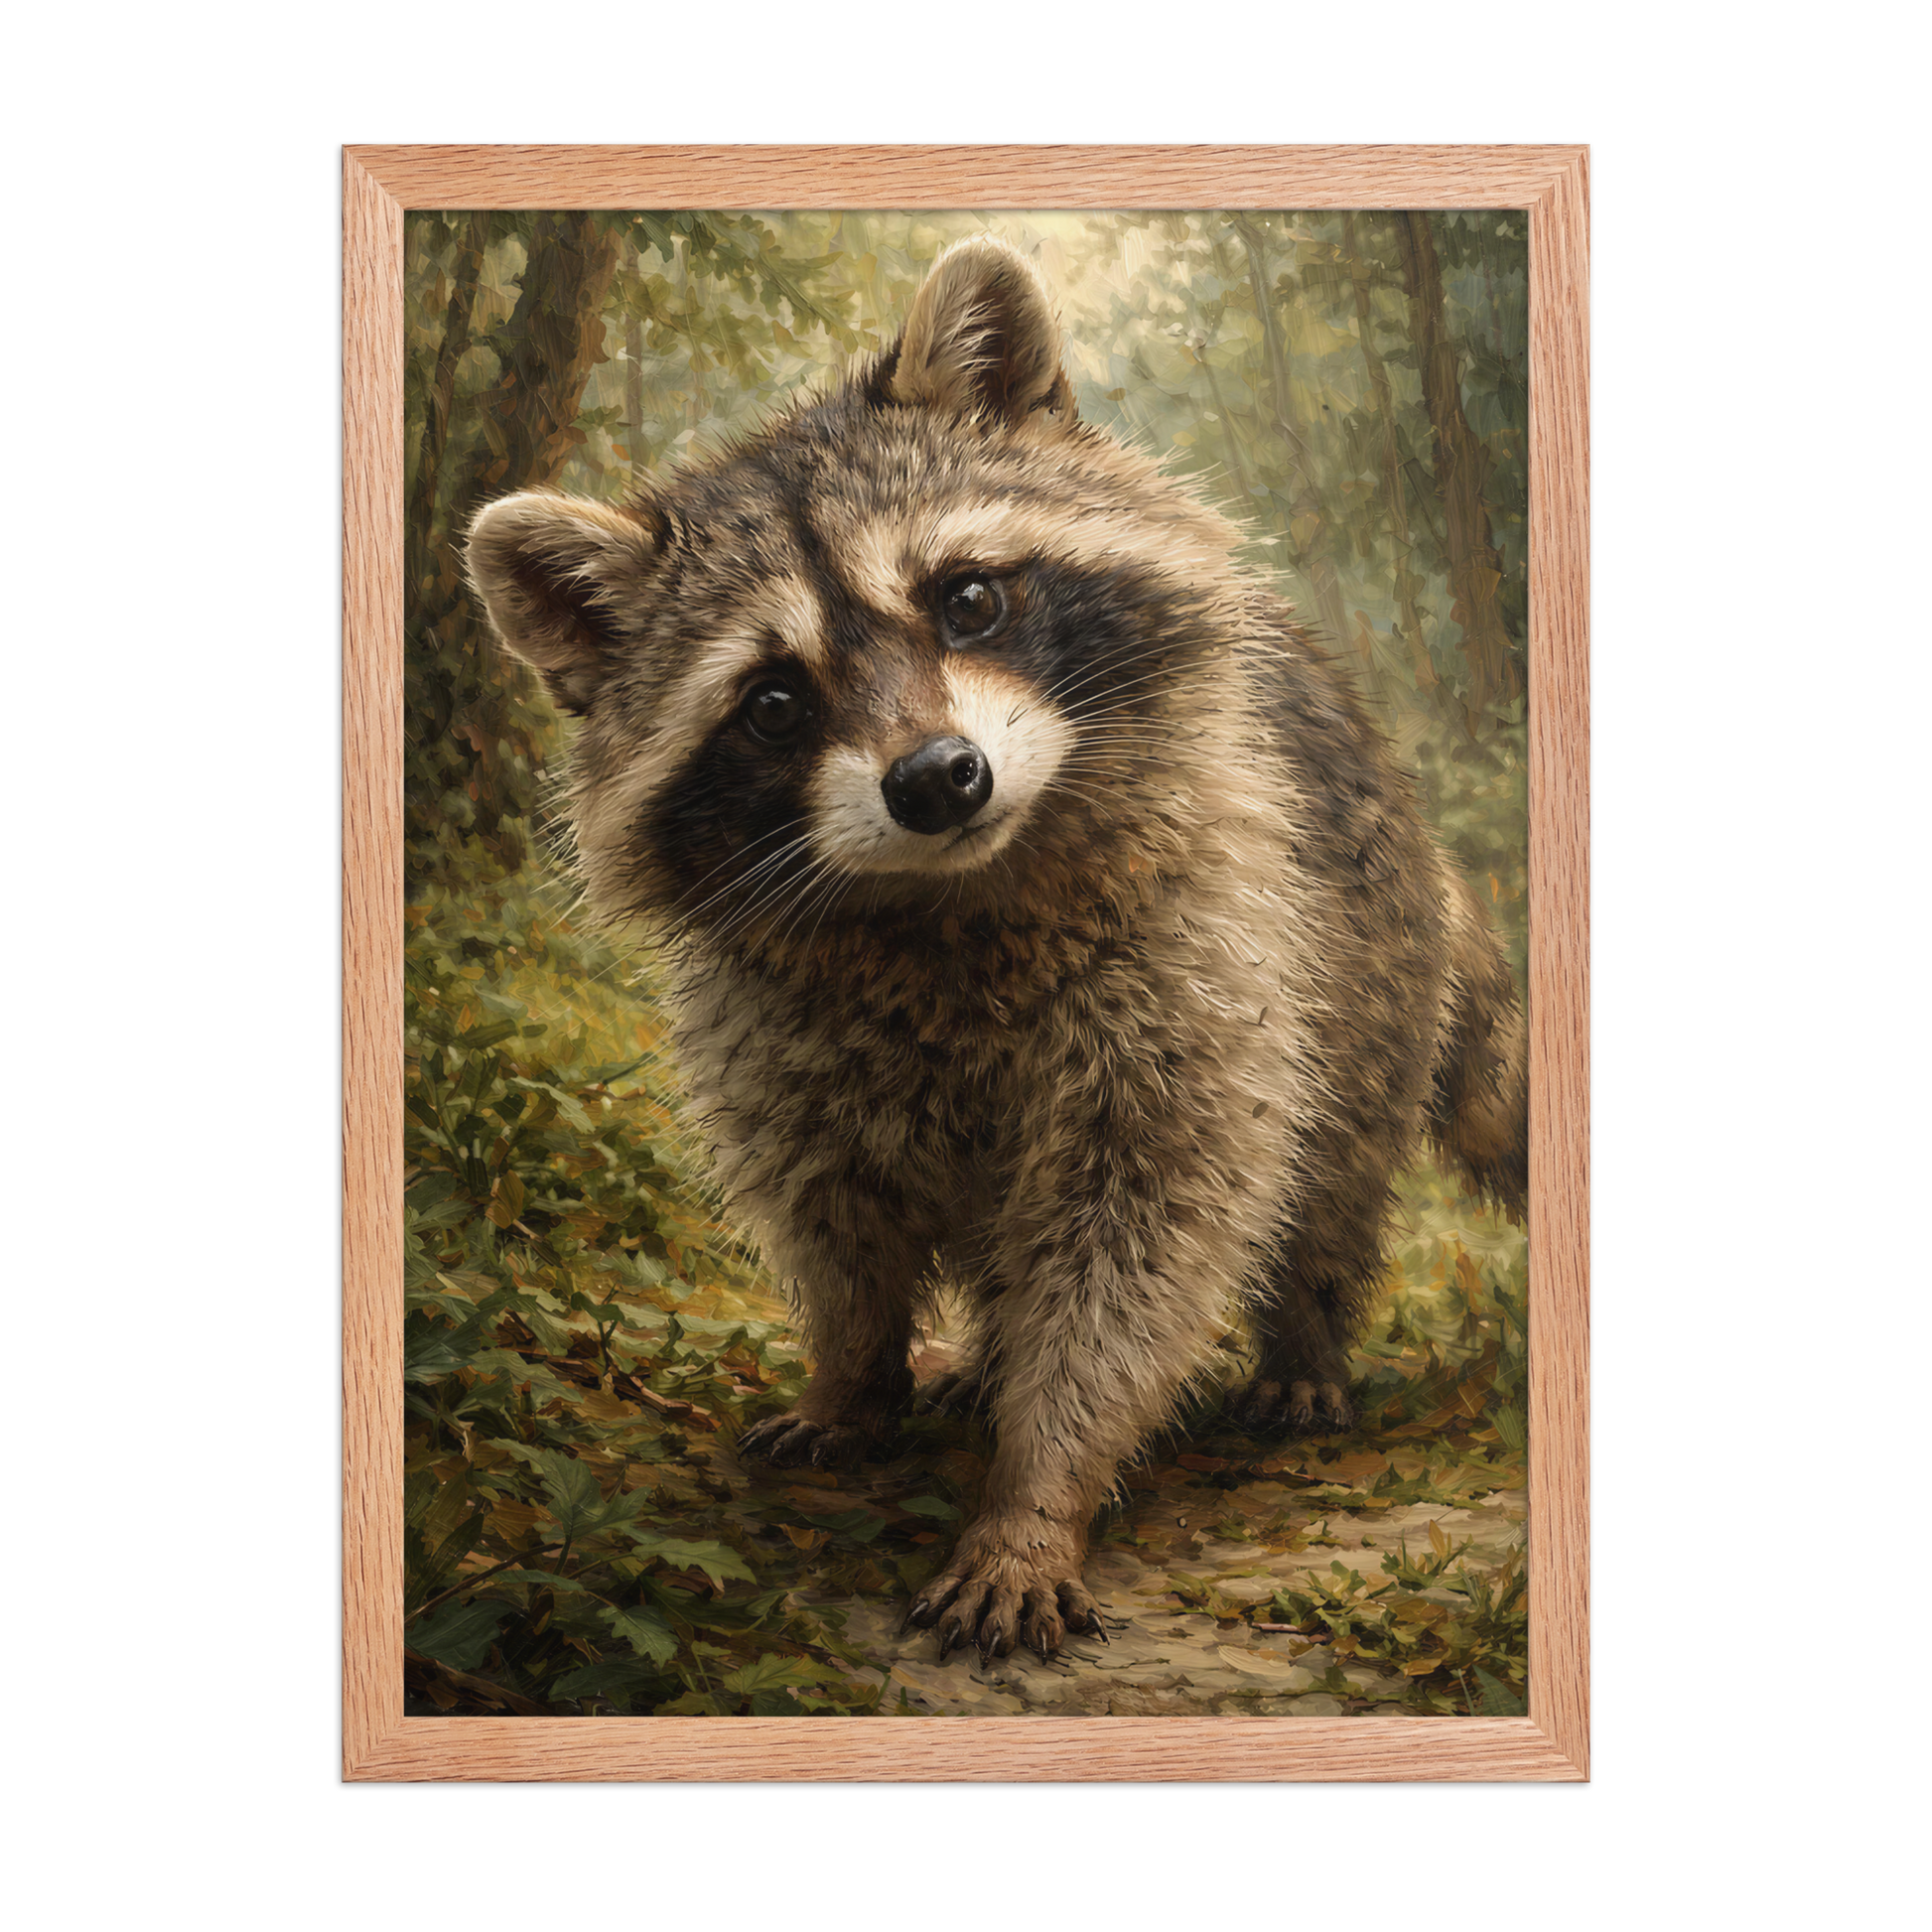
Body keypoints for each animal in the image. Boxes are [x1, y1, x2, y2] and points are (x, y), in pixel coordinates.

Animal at [465, 235, 1527, 1666]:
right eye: (773, 701)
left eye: (966, 597)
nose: (936, 779)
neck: (949, 897)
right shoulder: (771, 1029)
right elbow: (831, 1215)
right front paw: (852, 1371)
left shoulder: (1201, 952)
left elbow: (1137, 1242)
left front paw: (1037, 1491)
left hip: (1363, 959)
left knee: (1330, 1169)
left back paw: (1302, 1334)